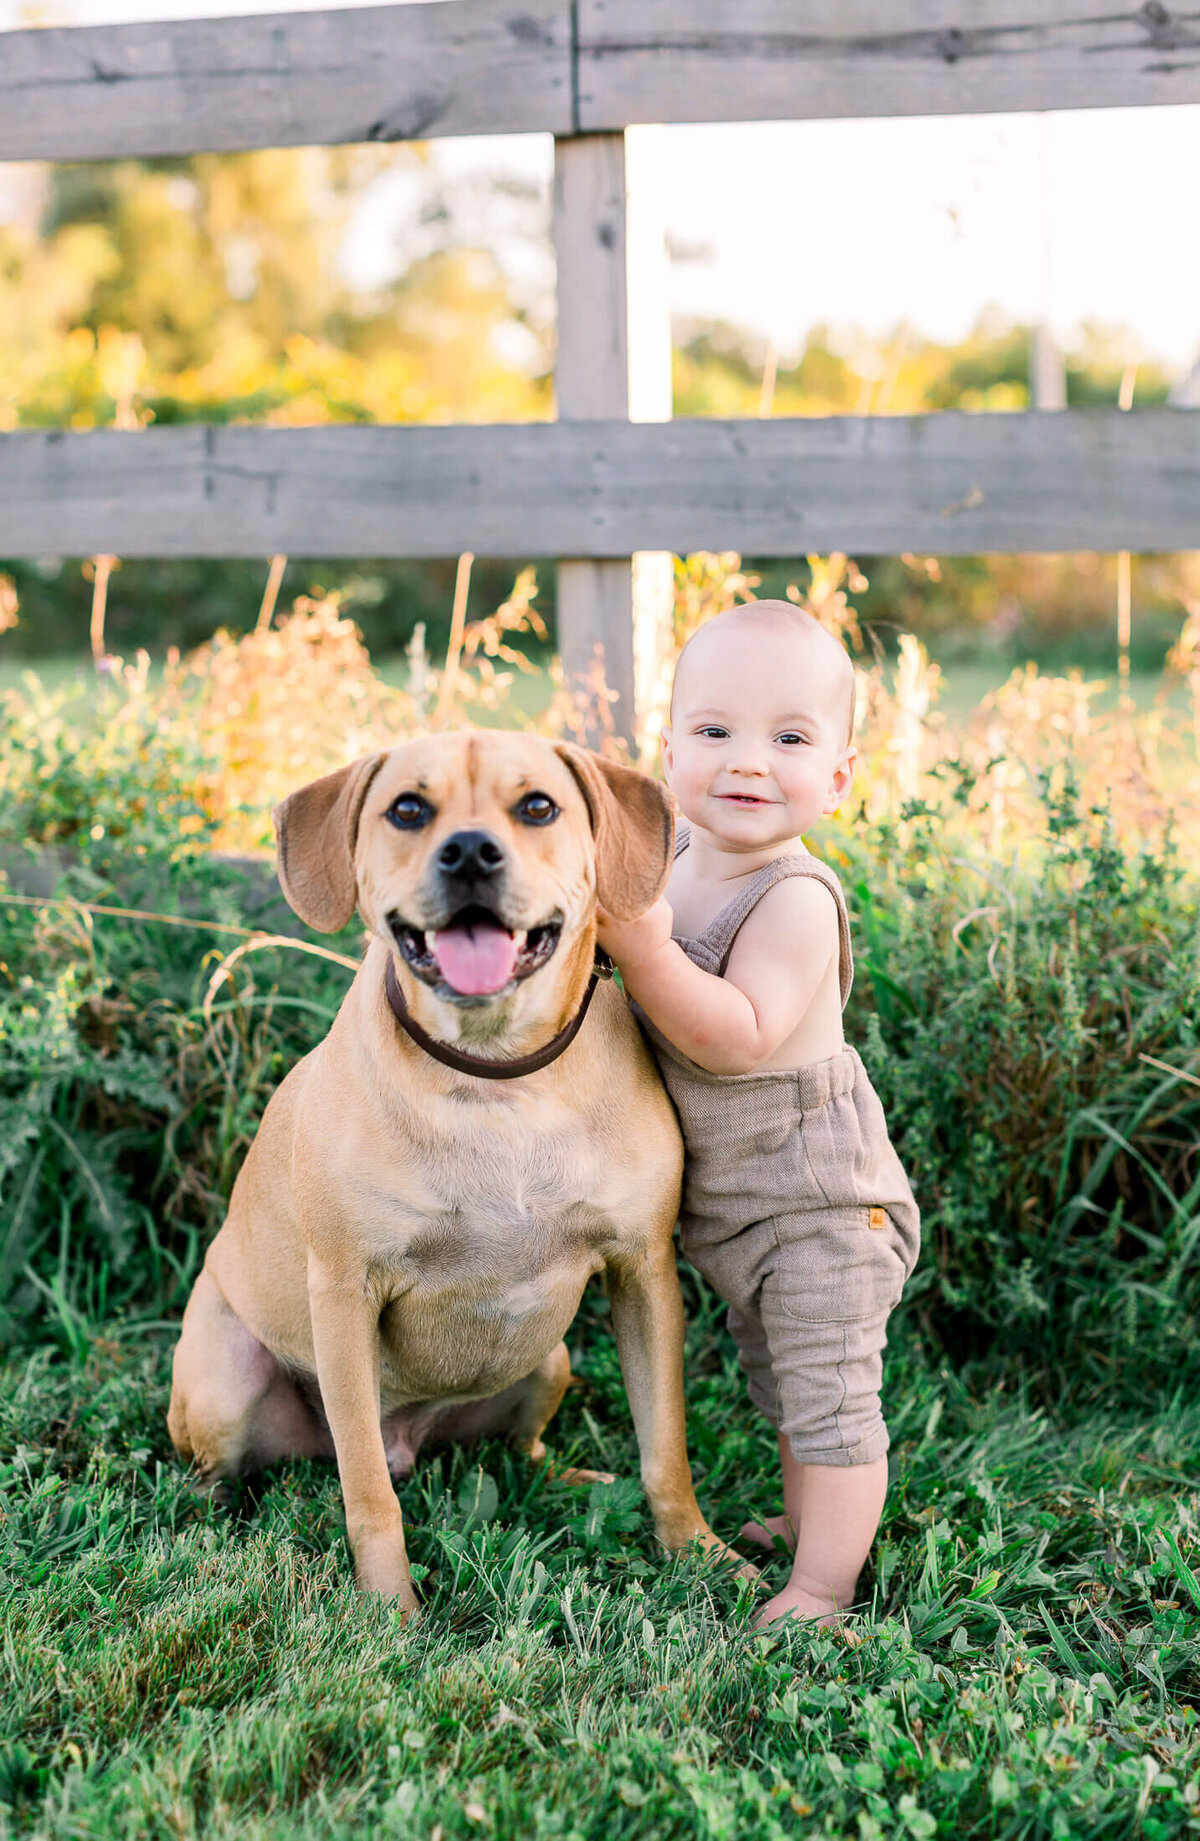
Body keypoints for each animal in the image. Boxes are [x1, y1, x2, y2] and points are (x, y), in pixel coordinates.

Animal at [163, 732, 736, 1612]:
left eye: (537, 805)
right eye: (408, 808)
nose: (469, 852)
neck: (498, 1075)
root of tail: (414, 1437)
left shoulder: (643, 1271)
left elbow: (665, 1449)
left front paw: (700, 1553)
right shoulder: (345, 1293)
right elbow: (368, 1493)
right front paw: (387, 1610)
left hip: (550, 1360)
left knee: (521, 1452)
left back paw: (573, 1478)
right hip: (227, 1381)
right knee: (242, 1470)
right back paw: (206, 1533)